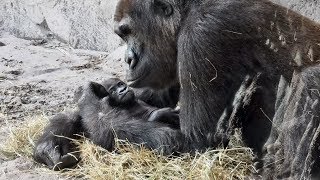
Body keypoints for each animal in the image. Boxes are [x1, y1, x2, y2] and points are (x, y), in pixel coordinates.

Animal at [33, 77, 181, 170]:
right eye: (113, 90)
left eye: (120, 84)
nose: (122, 90)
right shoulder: (108, 104)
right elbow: (103, 121)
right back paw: (48, 150)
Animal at [115, 0, 320, 178]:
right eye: (123, 36)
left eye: (129, 31)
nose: (128, 60)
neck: (186, 13)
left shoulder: (201, 35)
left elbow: (196, 142)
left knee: (308, 80)